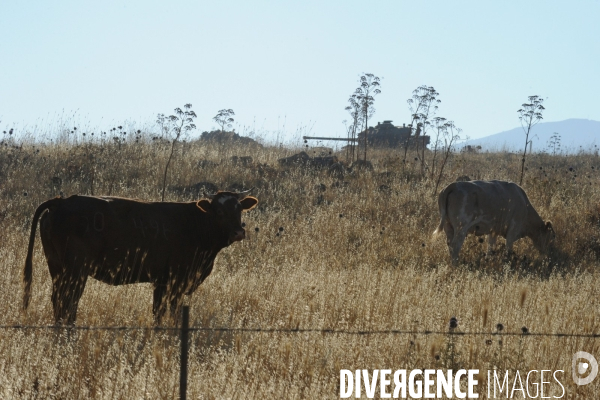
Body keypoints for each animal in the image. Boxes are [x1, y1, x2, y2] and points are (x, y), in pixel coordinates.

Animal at [22, 191, 258, 324]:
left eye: (239, 209)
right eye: (219, 211)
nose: (238, 232)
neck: (195, 223)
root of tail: (61, 201)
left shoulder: (166, 283)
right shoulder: (171, 281)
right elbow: (165, 312)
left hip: (57, 267)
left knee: (59, 300)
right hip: (75, 270)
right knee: (68, 301)